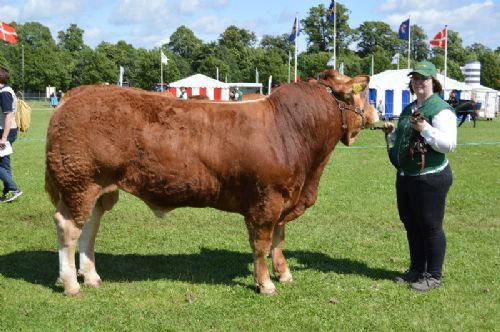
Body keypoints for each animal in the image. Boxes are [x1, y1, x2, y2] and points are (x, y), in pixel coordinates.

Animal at [47, 70, 376, 296]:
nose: (378, 113)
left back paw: (91, 277)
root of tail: (75, 95)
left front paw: (283, 273)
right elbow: (262, 243)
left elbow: (279, 240)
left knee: (90, 227)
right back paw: (71, 284)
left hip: (101, 187)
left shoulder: (285, 198)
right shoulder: (266, 201)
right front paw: (266, 283)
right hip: (80, 182)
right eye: (363, 94)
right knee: (68, 228)